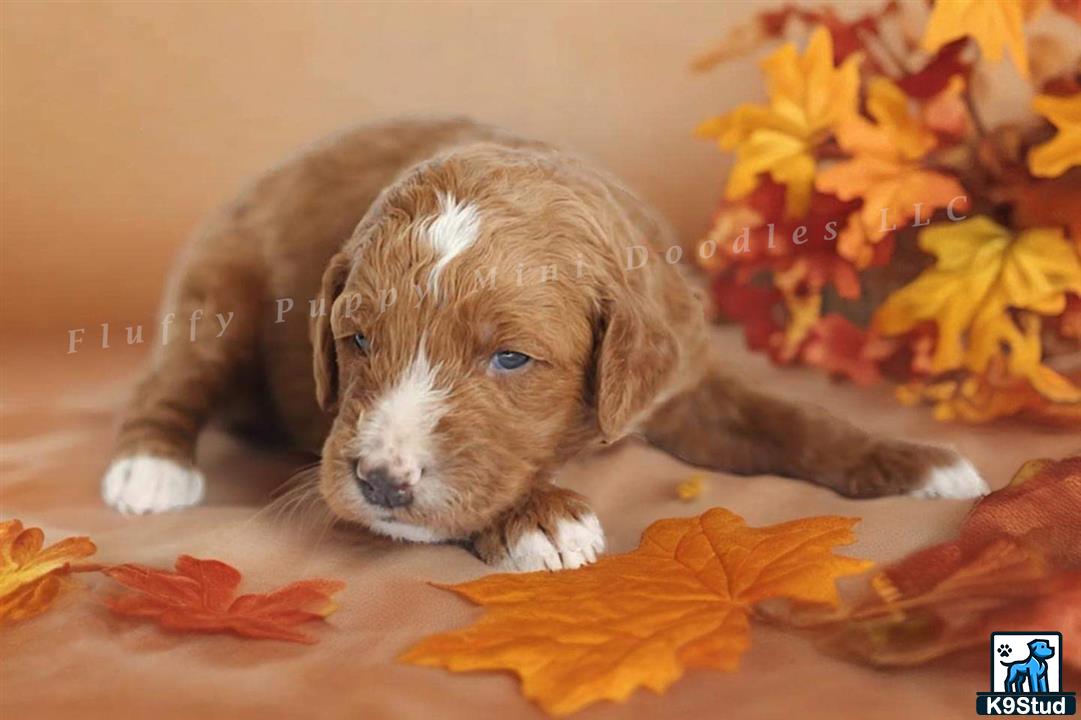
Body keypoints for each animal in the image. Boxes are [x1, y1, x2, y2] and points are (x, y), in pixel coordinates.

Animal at [103, 116, 990, 566]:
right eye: (356, 341)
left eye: (511, 359)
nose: (380, 482)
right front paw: (541, 518)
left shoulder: (680, 376)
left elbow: (789, 420)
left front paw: (916, 462)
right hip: (218, 291)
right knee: (172, 381)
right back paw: (149, 469)